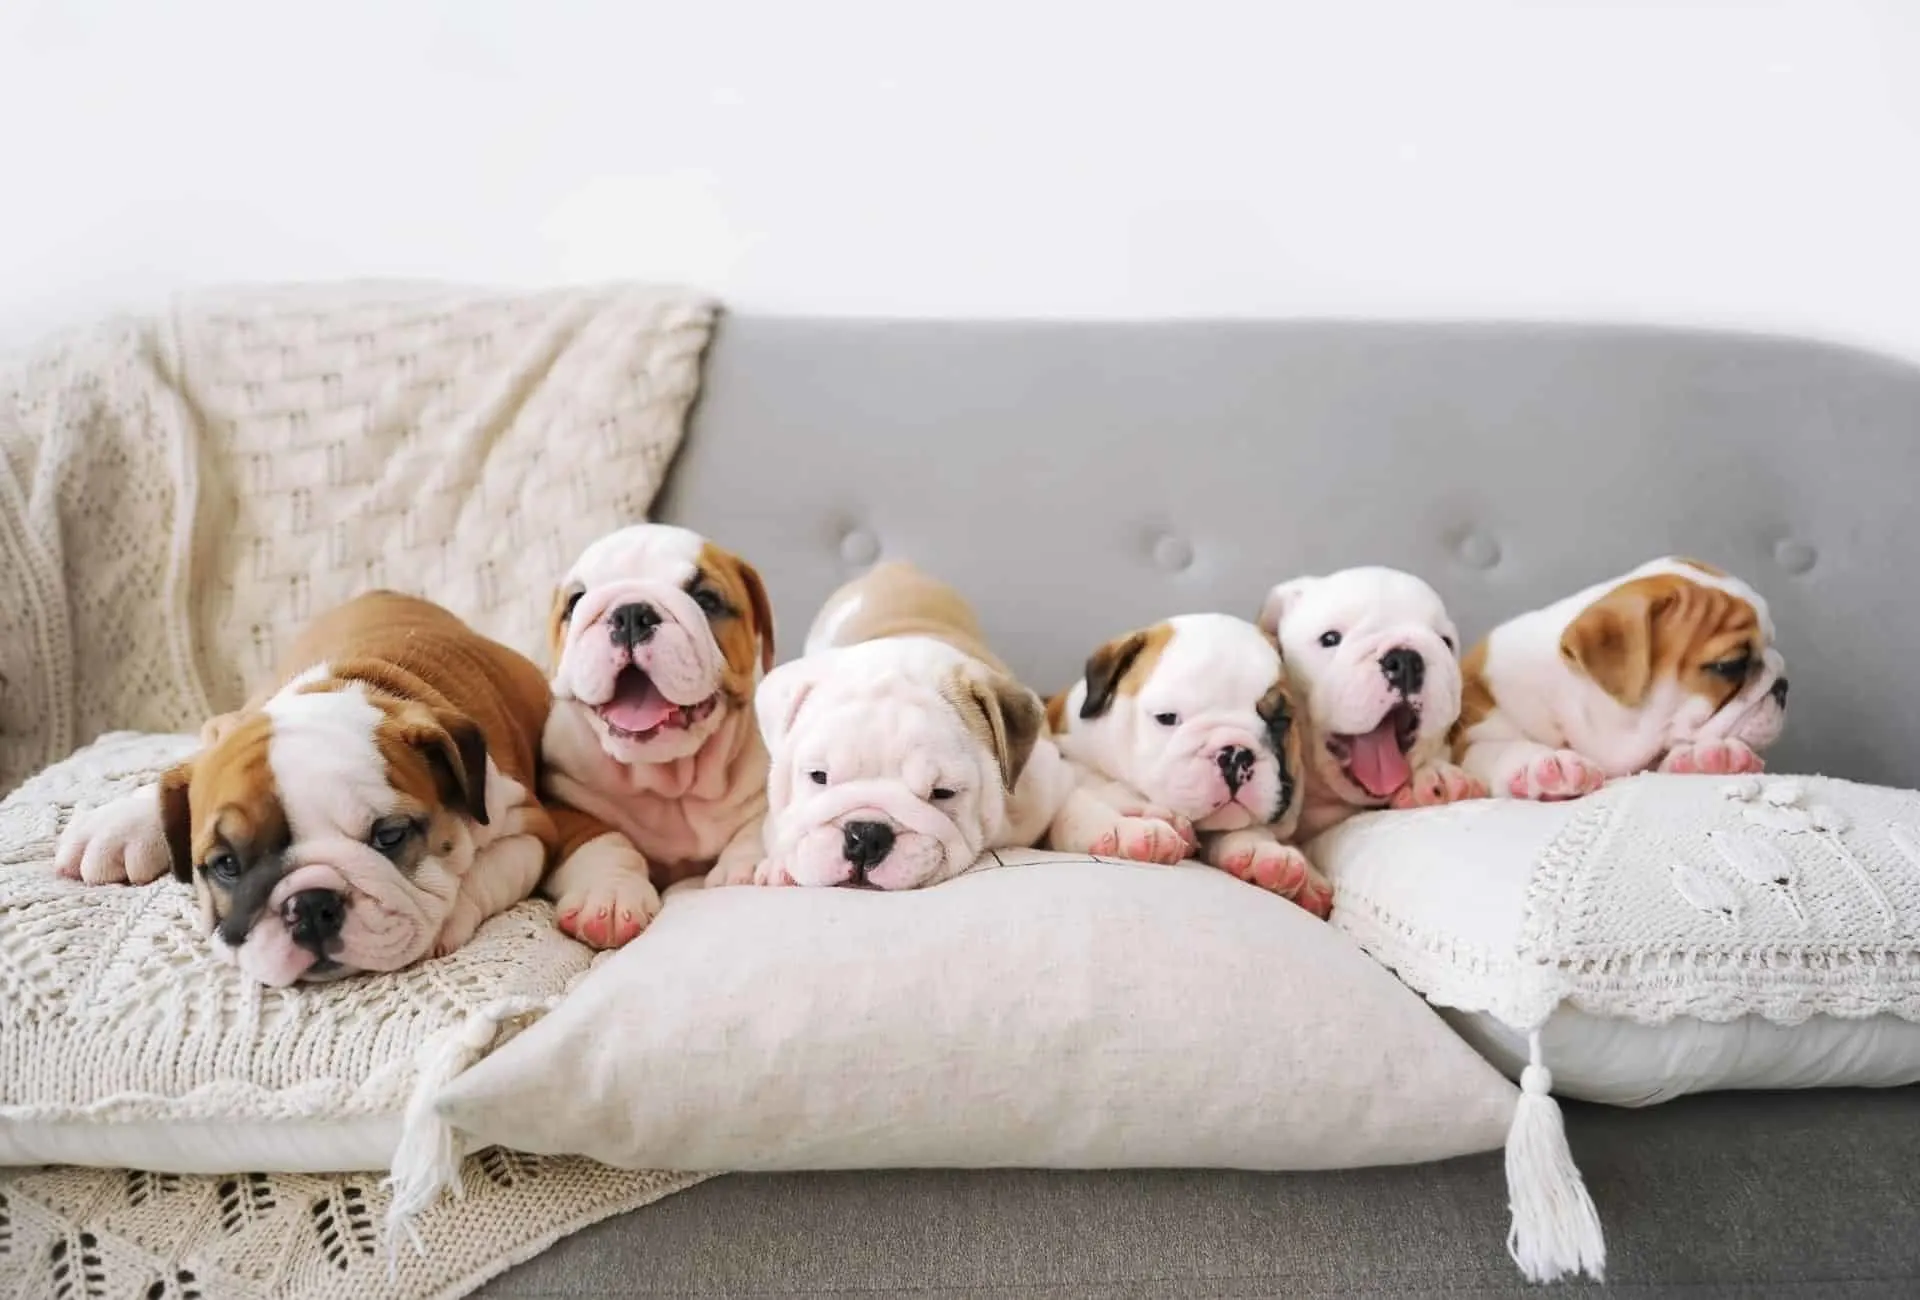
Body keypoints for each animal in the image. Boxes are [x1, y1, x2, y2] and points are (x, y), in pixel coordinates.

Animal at [52, 595, 560, 983]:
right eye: (227, 865)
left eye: (389, 836)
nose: (310, 904)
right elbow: (180, 772)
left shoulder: (528, 831)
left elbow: (482, 874)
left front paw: (446, 918)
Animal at [537, 522, 775, 937]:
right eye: (576, 601)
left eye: (706, 599)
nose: (632, 612)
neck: (668, 780)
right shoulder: (561, 803)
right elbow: (602, 838)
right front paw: (610, 894)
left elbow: (761, 821)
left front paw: (745, 867)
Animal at [752, 564, 1082, 887]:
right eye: (818, 776)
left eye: (944, 793)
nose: (867, 835)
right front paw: (777, 866)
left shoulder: (1051, 777)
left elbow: (1073, 801)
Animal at [1044, 614, 1328, 914]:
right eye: (1167, 717)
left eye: (1281, 721)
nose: (1236, 753)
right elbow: (1084, 798)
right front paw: (1123, 828)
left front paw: (1264, 850)